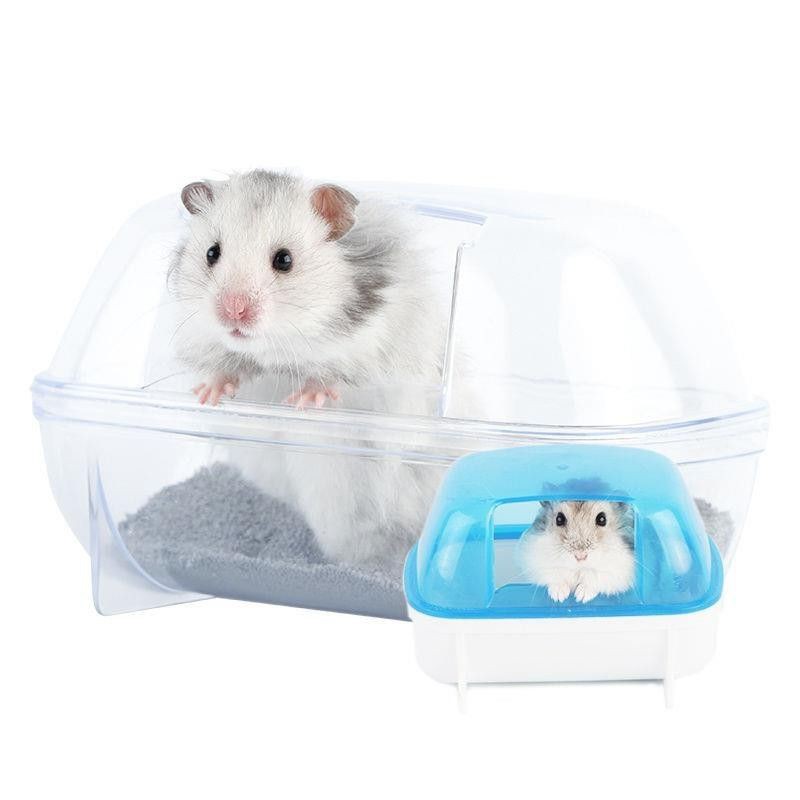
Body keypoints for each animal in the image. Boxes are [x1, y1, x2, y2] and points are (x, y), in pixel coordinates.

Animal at [168, 170, 445, 564]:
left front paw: (303, 401)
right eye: (211, 253)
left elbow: (331, 374)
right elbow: (229, 366)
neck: (281, 344)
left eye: (284, 260)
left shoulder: (371, 347)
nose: (232, 311)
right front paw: (207, 394)